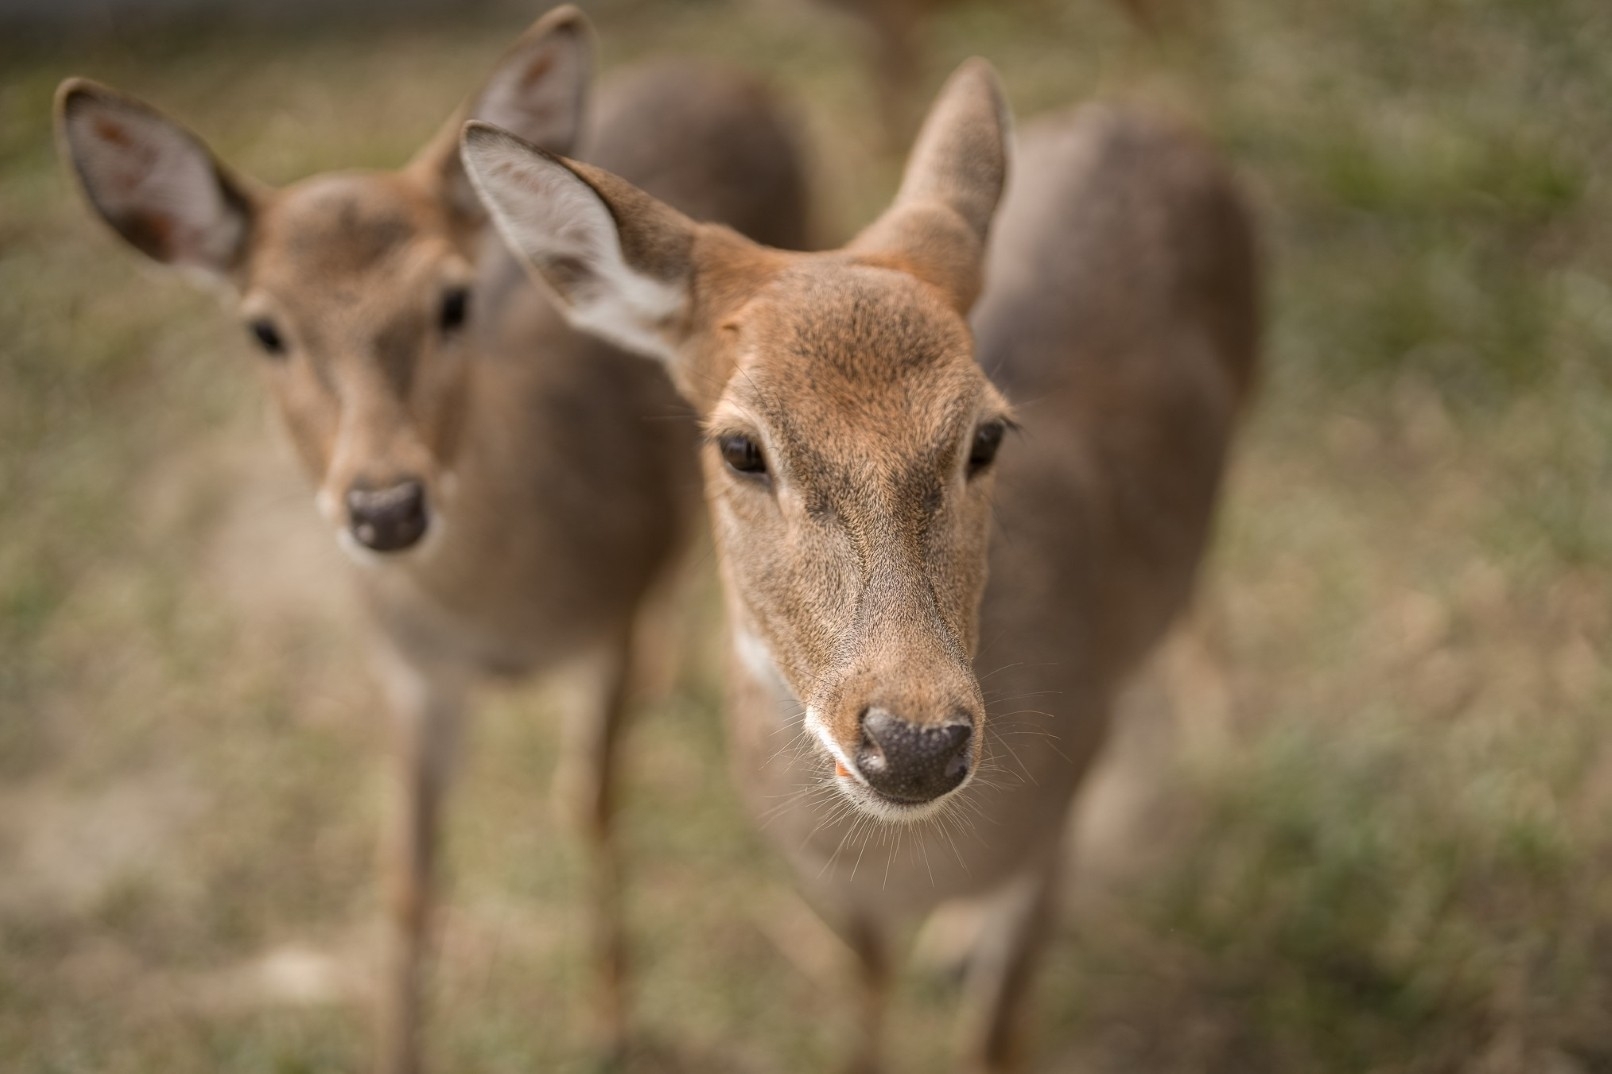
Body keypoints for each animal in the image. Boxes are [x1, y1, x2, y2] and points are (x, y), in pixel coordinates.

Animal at [53, 6, 806, 1064]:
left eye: (452, 299)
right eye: (264, 328)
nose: (386, 508)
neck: (501, 615)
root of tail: (738, 77)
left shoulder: (602, 632)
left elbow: (590, 805)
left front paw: (610, 1024)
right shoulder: (412, 671)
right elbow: (406, 873)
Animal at [457, 54, 1257, 1064]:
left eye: (987, 435)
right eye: (740, 447)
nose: (914, 743)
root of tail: (1150, 116)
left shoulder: (1058, 820)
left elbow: (997, 1035)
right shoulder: (830, 883)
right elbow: (863, 995)